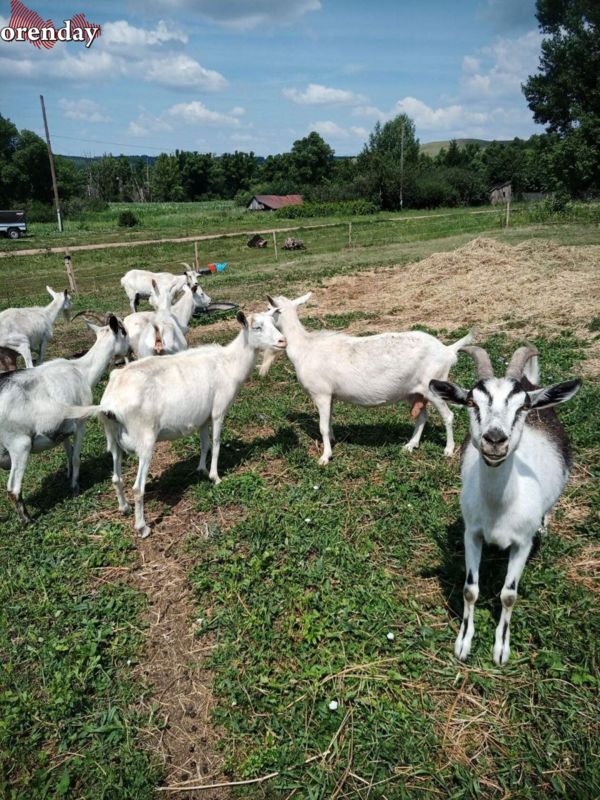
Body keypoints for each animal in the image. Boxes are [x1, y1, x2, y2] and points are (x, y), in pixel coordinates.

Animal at [0, 314, 129, 524]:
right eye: (124, 332)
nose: (130, 351)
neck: (81, 370)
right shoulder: (81, 422)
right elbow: (76, 457)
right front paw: (75, 487)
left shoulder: (64, 426)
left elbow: (68, 451)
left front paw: (69, 476)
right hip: (19, 445)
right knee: (12, 489)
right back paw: (27, 520)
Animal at [67, 310, 286, 538]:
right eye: (257, 327)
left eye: (273, 322)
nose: (282, 341)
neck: (228, 363)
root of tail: (111, 402)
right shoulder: (218, 410)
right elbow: (217, 443)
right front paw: (216, 477)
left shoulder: (203, 417)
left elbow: (205, 443)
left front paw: (201, 469)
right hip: (145, 441)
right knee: (138, 488)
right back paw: (142, 527)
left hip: (114, 440)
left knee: (116, 478)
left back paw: (124, 508)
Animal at [262, 292, 474, 463]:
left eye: (269, 309)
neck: (305, 348)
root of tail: (447, 350)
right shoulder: (330, 395)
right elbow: (328, 422)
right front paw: (332, 441)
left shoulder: (320, 393)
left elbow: (322, 426)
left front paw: (325, 457)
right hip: (412, 392)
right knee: (422, 416)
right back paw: (410, 445)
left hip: (434, 386)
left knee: (448, 416)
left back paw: (448, 450)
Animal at [429, 345, 581, 664]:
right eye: (471, 401)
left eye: (522, 407)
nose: (495, 439)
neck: (499, 508)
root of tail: (533, 384)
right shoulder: (472, 534)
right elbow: (470, 590)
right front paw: (463, 643)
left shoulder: (522, 543)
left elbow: (509, 595)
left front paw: (501, 650)